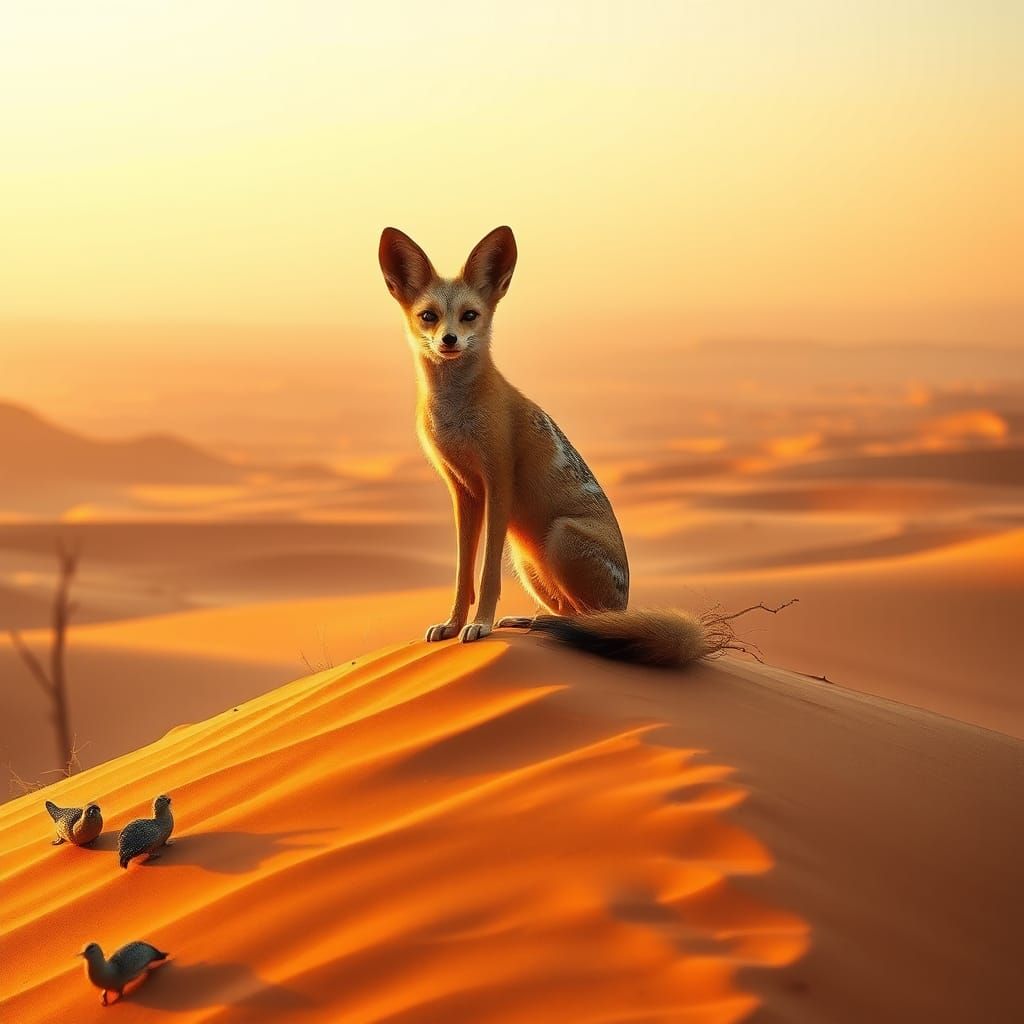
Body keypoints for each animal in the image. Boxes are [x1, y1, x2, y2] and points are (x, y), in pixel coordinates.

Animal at [378, 225, 734, 667]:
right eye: (428, 315)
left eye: (469, 315)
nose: (449, 340)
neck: (456, 415)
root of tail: (624, 603)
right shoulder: (462, 489)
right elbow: (463, 575)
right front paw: (453, 623)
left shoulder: (498, 481)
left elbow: (487, 575)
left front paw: (480, 625)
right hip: (528, 560)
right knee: (568, 614)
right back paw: (528, 621)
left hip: (557, 537)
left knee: (586, 620)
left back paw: (548, 626)